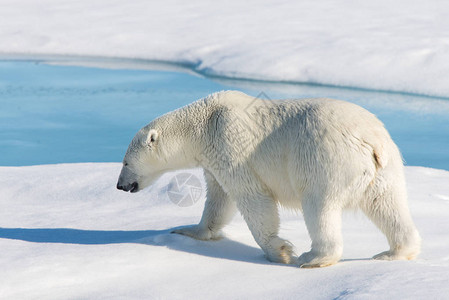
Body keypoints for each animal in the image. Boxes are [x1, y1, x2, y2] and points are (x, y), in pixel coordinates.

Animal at [116, 91, 420, 268]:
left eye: (125, 162)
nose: (120, 185)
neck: (203, 124)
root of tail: (371, 140)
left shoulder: (230, 143)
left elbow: (252, 197)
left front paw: (280, 252)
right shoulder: (213, 158)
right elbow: (218, 198)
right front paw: (187, 230)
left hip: (325, 160)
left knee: (319, 206)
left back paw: (312, 258)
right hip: (385, 167)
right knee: (388, 204)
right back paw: (393, 253)